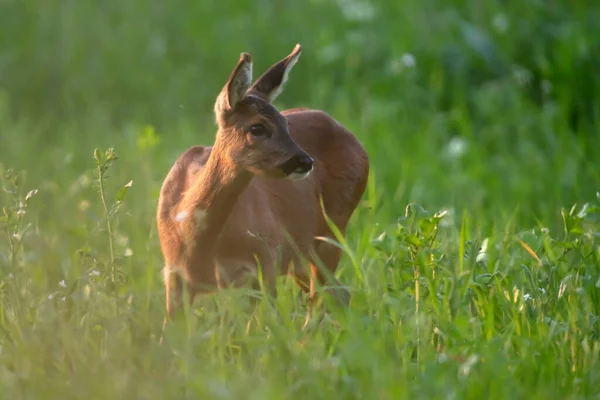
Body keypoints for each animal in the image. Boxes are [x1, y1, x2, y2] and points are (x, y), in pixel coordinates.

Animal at [157, 43, 368, 330]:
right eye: (257, 127)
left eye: (286, 124)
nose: (305, 160)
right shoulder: (174, 277)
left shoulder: (264, 261)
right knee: (335, 295)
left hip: (330, 233)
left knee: (325, 297)